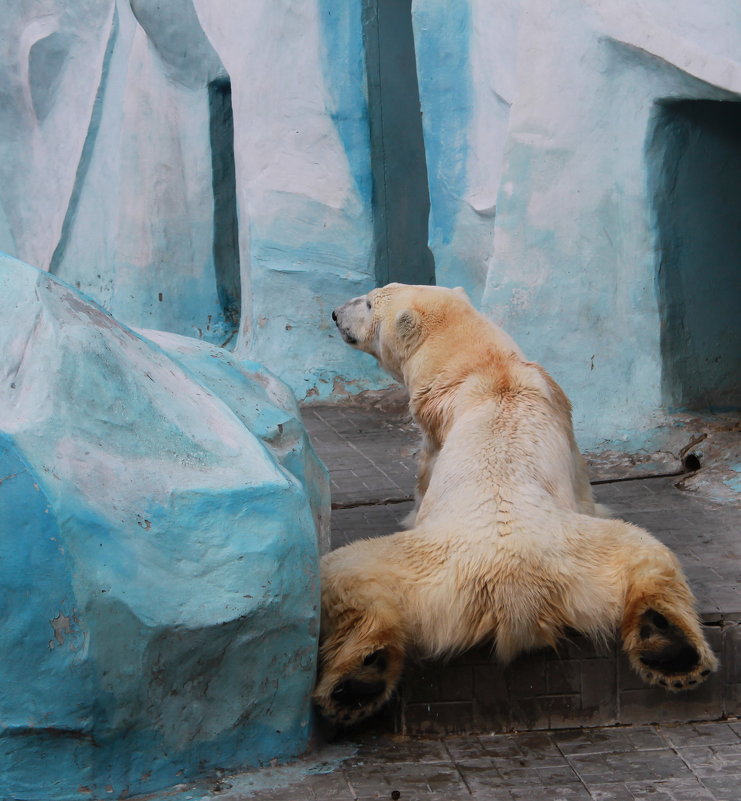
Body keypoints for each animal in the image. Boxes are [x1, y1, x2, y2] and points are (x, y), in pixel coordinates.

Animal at [314, 282, 716, 724]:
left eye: (368, 301)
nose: (334, 313)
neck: (487, 365)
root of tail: (513, 589)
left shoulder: (440, 430)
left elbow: (427, 478)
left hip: (455, 563)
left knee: (342, 574)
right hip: (575, 557)